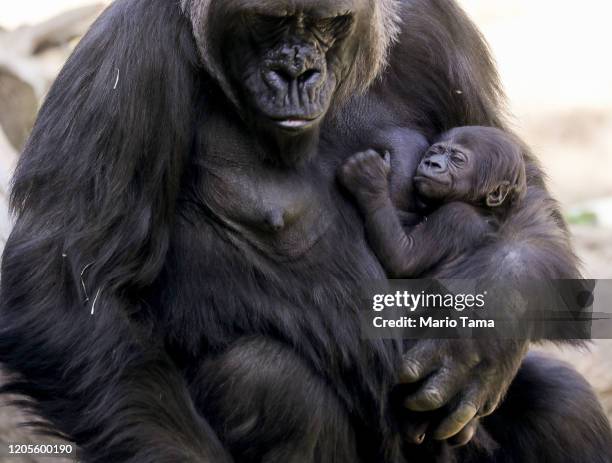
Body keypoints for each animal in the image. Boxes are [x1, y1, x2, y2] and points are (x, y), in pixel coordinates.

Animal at [338, 126, 524, 280]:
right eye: (434, 151)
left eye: (457, 159)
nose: (432, 163)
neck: (481, 206)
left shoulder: (456, 216)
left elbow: (404, 258)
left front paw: (369, 177)